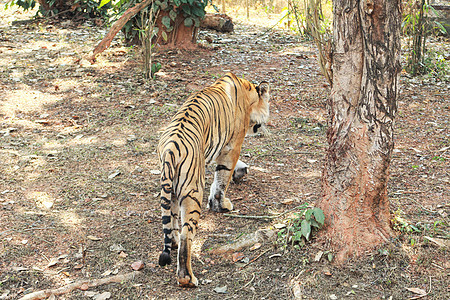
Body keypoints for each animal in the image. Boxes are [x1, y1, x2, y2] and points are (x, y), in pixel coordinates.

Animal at [158, 72, 270, 286]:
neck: (247, 91)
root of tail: (171, 148)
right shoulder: (233, 145)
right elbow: (222, 176)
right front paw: (220, 204)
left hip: (171, 189)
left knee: (172, 222)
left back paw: (173, 242)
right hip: (192, 190)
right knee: (186, 234)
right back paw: (188, 278)